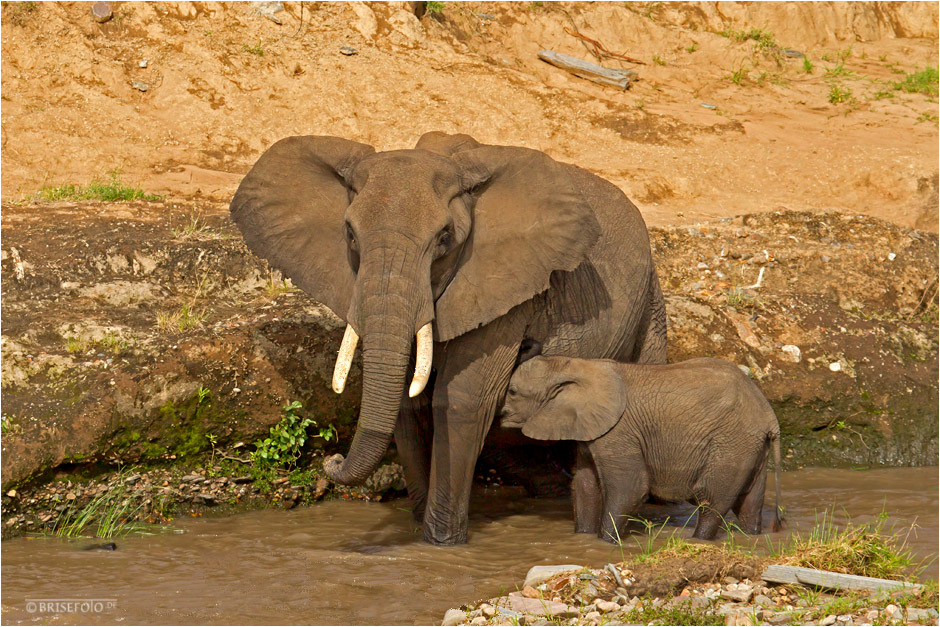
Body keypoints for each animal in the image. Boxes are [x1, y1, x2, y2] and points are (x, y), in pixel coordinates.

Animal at [230, 132, 664, 544]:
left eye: (444, 238)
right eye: (350, 235)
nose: (331, 460)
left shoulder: (505, 292)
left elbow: (460, 401)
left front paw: (440, 544)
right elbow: (408, 406)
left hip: (650, 305)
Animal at [504, 356, 784, 544]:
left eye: (513, 392)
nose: (501, 415)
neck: (574, 363)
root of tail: (770, 415)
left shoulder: (618, 432)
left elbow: (629, 487)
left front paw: (606, 543)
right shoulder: (591, 431)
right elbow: (585, 486)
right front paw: (583, 539)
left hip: (732, 442)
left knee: (712, 500)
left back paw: (698, 539)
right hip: (751, 448)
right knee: (749, 504)